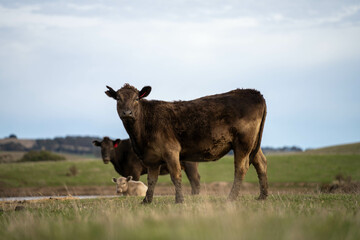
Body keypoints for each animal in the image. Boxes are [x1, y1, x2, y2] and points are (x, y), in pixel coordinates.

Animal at [104, 83, 268, 203]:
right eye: (118, 98)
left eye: (137, 98)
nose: (127, 113)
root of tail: (254, 92)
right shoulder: (151, 158)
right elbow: (151, 180)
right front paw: (146, 201)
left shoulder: (171, 151)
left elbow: (175, 175)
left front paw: (179, 200)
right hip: (253, 144)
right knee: (261, 163)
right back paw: (262, 196)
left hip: (243, 143)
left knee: (241, 168)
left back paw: (231, 198)